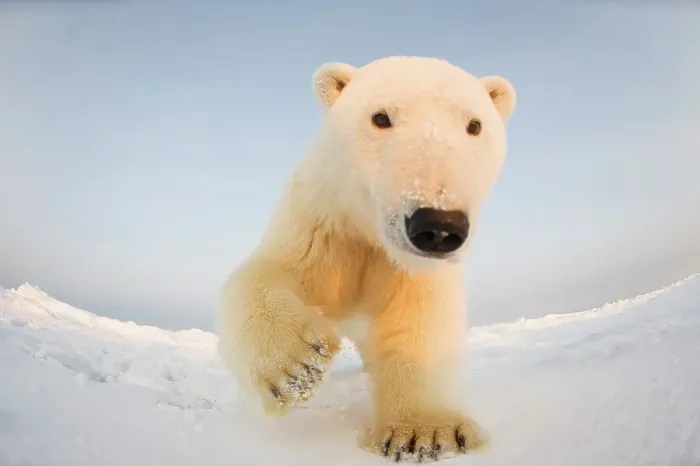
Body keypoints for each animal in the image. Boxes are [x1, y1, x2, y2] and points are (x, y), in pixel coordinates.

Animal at [217, 55, 516, 463]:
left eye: (474, 125)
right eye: (380, 117)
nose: (438, 225)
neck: (369, 234)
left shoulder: (410, 267)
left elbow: (420, 318)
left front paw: (425, 432)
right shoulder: (324, 225)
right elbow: (268, 272)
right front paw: (296, 366)